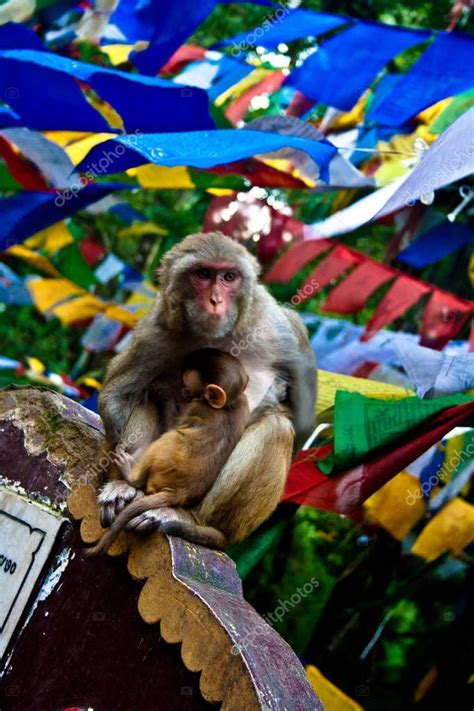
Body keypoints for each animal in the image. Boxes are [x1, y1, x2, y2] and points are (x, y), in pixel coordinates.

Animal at [86, 350, 248, 556]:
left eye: (188, 389)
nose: (182, 394)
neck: (228, 405)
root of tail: (179, 493)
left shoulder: (195, 407)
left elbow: (172, 424)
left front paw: (162, 393)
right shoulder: (243, 404)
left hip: (162, 460)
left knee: (168, 439)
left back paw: (131, 474)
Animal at [98, 231, 316, 548]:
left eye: (229, 277)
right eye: (202, 274)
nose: (215, 300)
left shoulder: (282, 327)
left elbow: (302, 419)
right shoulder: (155, 331)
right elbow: (118, 395)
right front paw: (116, 483)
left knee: (276, 428)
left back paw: (192, 520)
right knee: (146, 392)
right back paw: (126, 485)